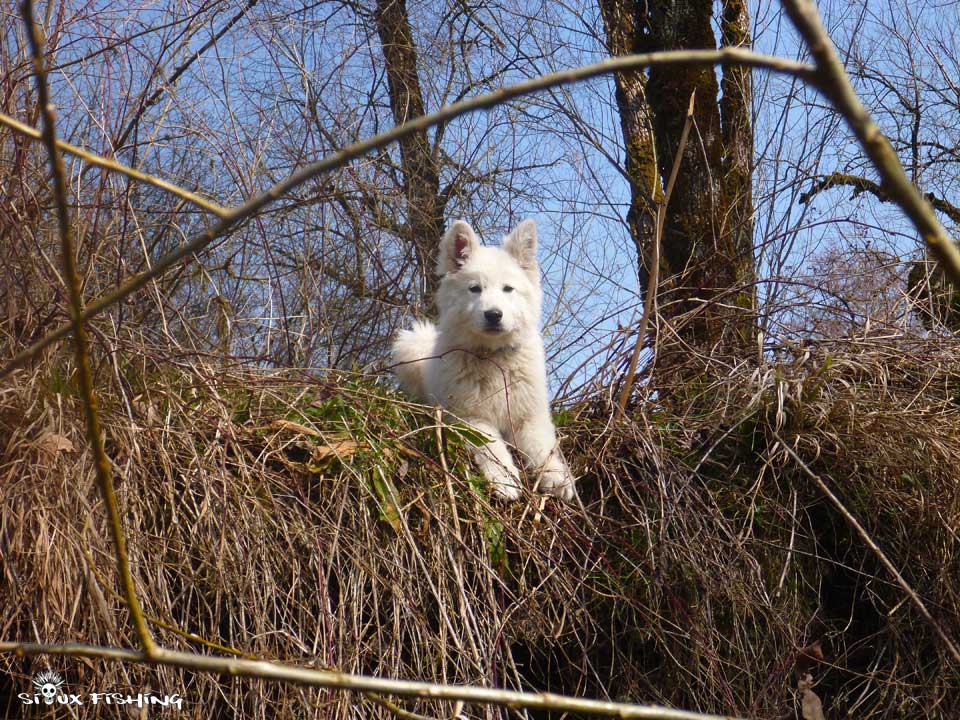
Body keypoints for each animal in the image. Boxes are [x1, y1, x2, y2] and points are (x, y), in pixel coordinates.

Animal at [392, 219, 572, 500]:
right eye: (475, 289)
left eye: (508, 289)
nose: (493, 314)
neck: (494, 357)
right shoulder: (472, 418)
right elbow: (492, 447)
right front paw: (505, 480)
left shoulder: (529, 415)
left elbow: (543, 446)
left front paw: (556, 476)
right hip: (409, 347)